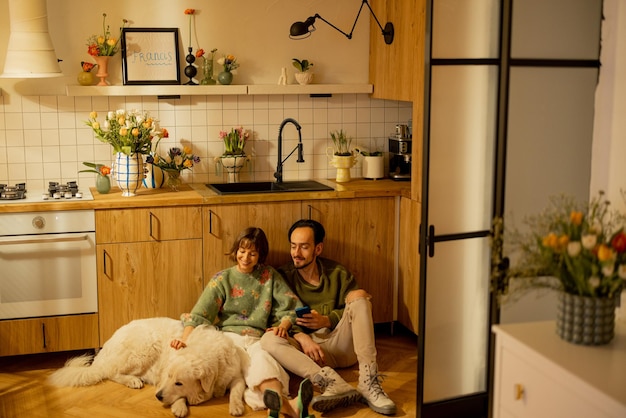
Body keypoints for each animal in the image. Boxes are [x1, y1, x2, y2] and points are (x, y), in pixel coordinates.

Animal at [47, 318, 246, 416]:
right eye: (170, 377)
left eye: (179, 383)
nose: (157, 396)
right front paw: (180, 407)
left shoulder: (236, 376)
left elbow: (236, 390)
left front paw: (236, 406)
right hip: (145, 347)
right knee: (112, 372)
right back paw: (133, 380)